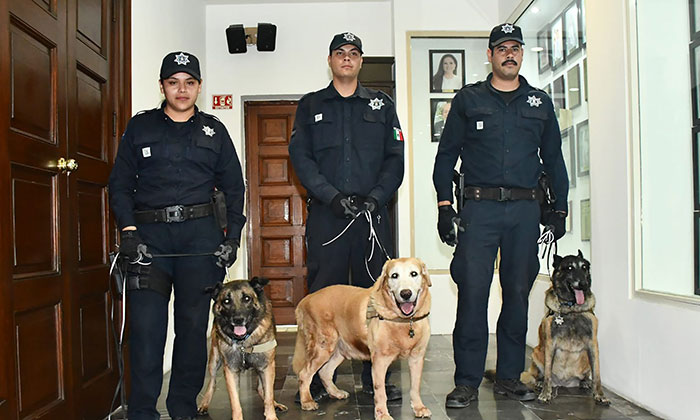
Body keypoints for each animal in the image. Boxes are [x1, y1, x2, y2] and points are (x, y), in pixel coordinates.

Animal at [197, 278, 288, 420]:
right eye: (226, 301)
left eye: (246, 298)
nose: (238, 320)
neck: (243, 343)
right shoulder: (231, 371)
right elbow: (235, 402)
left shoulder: (266, 367)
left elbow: (268, 395)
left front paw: (271, 415)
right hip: (214, 361)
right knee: (212, 382)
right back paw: (204, 403)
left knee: (263, 389)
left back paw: (275, 404)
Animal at [292, 256, 432, 420]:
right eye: (394, 275)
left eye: (414, 273)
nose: (405, 293)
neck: (403, 321)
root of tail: (306, 299)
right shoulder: (379, 360)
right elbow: (380, 391)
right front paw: (383, 414)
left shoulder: (417, 357)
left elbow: (415, 387)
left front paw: (419, 407)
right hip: (323, 347)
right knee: (304, 374)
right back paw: (307, 401)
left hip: (340, 350)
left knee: (324, 372)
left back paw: (335, 393)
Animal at [524, 251, 608, 406]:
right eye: (569, 268)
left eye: (584, 267)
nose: (583, 284)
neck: (572, 309)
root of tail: (564, 383)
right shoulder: (550, 344)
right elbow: (548, 373)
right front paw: (546, 393)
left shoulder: (593, 344)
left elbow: (597, 374)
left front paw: (599, 394)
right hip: (536, 352)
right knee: (542, 374)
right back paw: (540, 382)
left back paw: (585, 381)